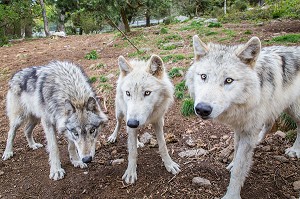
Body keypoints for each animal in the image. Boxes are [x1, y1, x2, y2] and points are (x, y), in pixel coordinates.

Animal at [107, 54, 179, 183]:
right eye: (128, 93)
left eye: (147, 93)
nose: (132, 123)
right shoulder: (130, 120)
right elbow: (132, 152)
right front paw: (131, 172)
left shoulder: (158, 121)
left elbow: (163, 146)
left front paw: (169, 164)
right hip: (120, 114)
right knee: (119, 123)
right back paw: (113, 137)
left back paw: (138, 142)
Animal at [185, 35, 300, 198]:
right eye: (203, 76)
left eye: (228, 80)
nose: (202, 109)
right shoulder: (240, 127)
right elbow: (236, 151)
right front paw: (233, 163)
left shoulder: (248, 131)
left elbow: (239, 169)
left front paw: (232, 194)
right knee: (270, 122)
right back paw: (259, 140)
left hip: (294, 110)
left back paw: (295, 150)